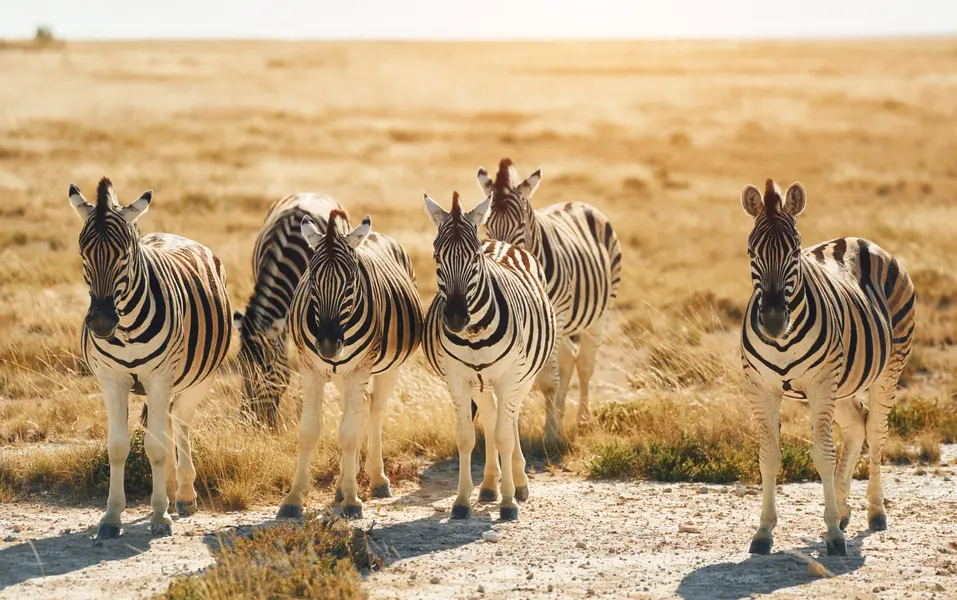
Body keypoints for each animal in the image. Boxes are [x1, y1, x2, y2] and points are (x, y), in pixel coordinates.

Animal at [69, 178, 232, 538]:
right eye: (83, 253)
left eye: (125, 255)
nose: (102, 323)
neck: (127, 325)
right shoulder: (111, 379)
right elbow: (118, 447)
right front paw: (112, 517)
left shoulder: (159, 378)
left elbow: (155, 447)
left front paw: (159, 516)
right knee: (168, 421)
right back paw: (169, 489)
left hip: (200, 378)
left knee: (180, 420)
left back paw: (183, 494)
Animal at [276, 210, 423, 519]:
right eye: (312, 281)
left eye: (350, 282)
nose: (328, 345)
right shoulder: (311, 369)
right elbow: (308, 432)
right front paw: (294, 498)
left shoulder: (359, 370)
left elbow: (349, 434)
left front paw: (353, 501)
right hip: (343, 374)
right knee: (360, 408)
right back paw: (343, 484)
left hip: (386, 367)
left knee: (374, 410)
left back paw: (376, 480)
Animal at [423, 190, 558, 521]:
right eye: (437, 257)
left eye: (474, 258)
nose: (455, 318)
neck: (474, 336)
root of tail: (499, 242)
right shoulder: (457, 380)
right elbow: (467, 437)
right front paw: (462, 501)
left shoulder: (510, 378)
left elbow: (504, 436)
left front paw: (508, 502)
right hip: (481, 384)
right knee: (492, 416)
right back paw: (487, 486)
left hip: (523, 376)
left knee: (510, 419)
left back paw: (518, 483)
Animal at [477, 158, 622, 445]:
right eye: (487, 225)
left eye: (521, 225)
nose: (499, 258)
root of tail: (577, 203)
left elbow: (546, 380)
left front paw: (551, 433)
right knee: (567, 360)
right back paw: (562, 412)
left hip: (597, 314)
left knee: (585, 365)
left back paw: (581, 420)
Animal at [740, 178, 915, 556]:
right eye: (751, 252)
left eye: (795, 252)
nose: (773, 322)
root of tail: (857, 240)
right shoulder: (761, 387)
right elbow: (768, 457)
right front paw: (764, 531)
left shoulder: (820, 383)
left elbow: (823, 455)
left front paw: (833, 533)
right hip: (843, 383)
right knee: (857, 427)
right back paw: (845, 509)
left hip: (887, 369)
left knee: (876, 431)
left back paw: (874, 512)